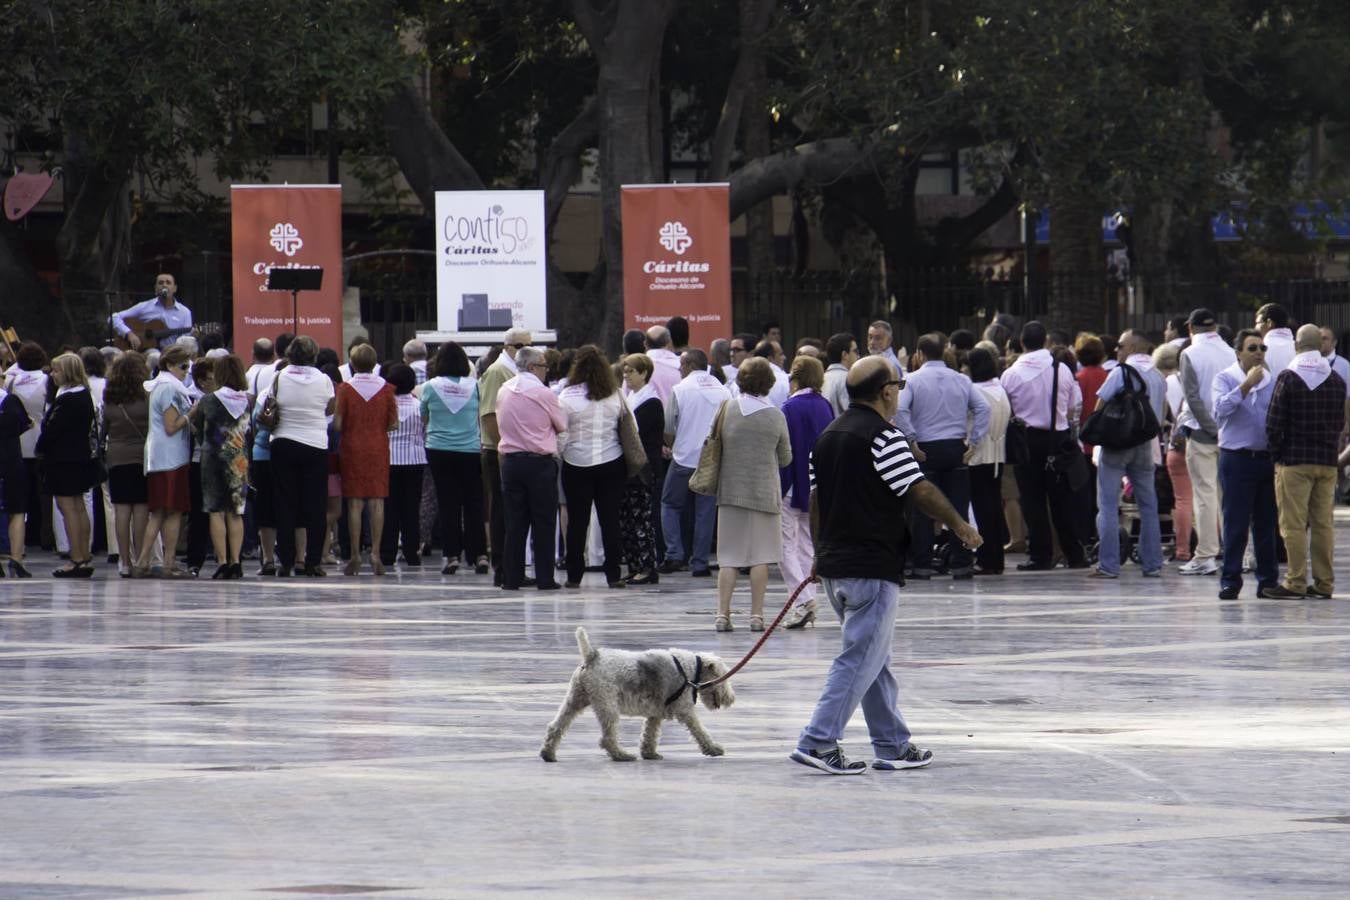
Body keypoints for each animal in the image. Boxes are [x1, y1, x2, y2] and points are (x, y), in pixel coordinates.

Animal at [537, 631, 734, 766]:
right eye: (723, 677)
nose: (731, 699)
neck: (691, 669)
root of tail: (592, 656)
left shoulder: (655, 713)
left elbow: (650, 735)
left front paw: (650, 754)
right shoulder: (685, 710)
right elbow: (700, 731)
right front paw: (714, 749)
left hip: (575, 699)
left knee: (555, 727)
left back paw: (548, 754)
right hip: (607, 706)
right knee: (607, 739)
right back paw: (622, 755)